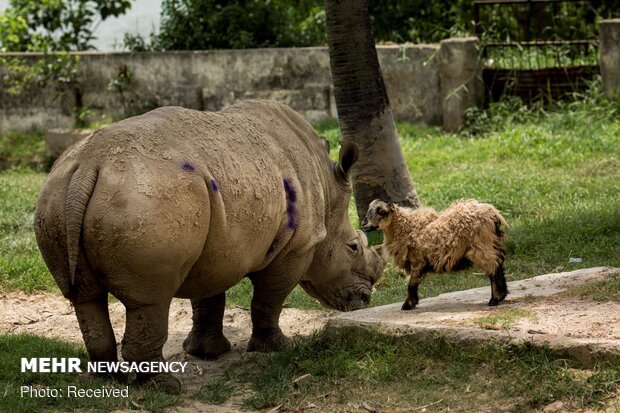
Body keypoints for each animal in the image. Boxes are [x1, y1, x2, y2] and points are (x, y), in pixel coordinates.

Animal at [358, 199, 508, 308]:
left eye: (381, 211)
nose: (364, 224)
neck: (406, 226)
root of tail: (493, 213)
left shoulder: (418, 260)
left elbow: (411, 284)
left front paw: (408, 304)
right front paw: (411, 303)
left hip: (482, 247)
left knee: (493, 269)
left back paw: (494, 300)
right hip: (491, 245)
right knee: (499, 266)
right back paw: (502, 295)